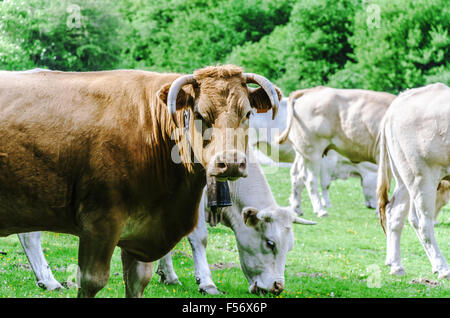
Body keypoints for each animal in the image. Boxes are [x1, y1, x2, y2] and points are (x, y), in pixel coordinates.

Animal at [0, 66, 282, 296]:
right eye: (201, 114)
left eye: (247, 114)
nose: (231, 162)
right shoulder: (99, 222)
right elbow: (91, 281)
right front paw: (205, 282)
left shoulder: (143, 230)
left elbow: (138, 281)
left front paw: (168, 275)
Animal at [155, 150, 316, 294]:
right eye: (270, 243)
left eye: (289, 247)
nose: (277, 287)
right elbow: (199, 237)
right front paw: (207, 283)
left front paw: (168, 275)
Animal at [278, 85, 398, 217]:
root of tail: (311, 90)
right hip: (313, 152)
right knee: (310, 180)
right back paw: (320, 210)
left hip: (302, 151)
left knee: (296, 176)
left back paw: (297, 209)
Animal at [376, 82, 450, 278]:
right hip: (421, 175)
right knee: (424, 224)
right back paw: (442, 268)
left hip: (405, 176)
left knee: (395, 212)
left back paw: (396, 266)